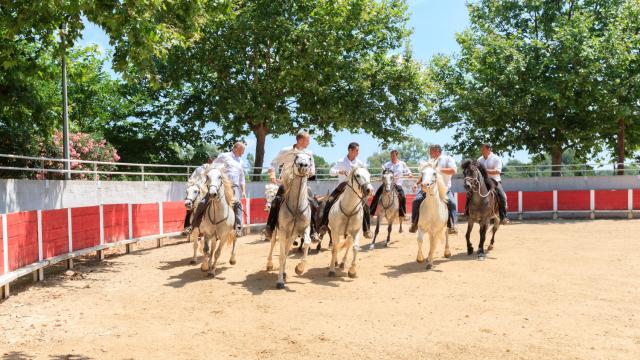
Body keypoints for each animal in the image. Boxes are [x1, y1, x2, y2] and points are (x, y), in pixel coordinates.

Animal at [264, 152, 312, 290]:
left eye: (309, 158)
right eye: (296, 157)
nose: (303, 165)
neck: (296, 207)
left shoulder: (304, 229)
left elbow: (307, 242)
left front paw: (299, 269)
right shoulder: (283, 231)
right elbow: (281, 255)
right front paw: (280, 281)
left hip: (291, 236)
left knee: (286, 250)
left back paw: (285, 272)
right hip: (276, 232)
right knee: (273, 244)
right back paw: (269, 265)